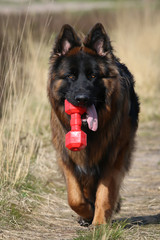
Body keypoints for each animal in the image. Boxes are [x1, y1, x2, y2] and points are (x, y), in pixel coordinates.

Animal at [47, 23, 139, 226]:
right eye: (71, 76)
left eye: (93, 76)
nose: (82, 99)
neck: (87, 131)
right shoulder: (66, 156)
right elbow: (74, 197)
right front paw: (87, 212)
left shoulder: (113, 158)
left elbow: (104, 194)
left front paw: (98, 222)